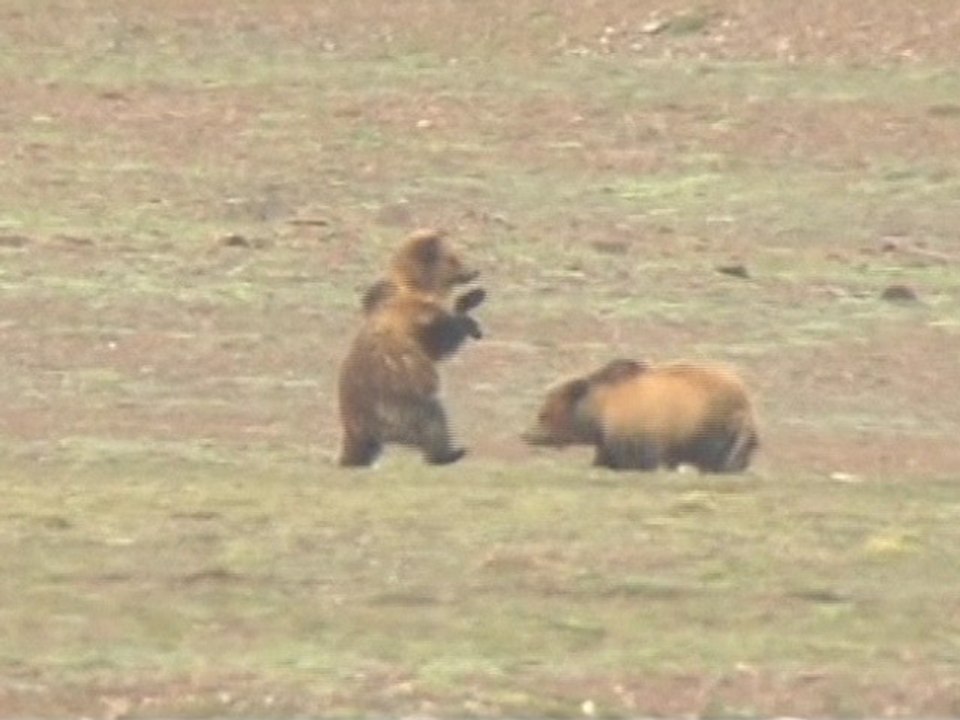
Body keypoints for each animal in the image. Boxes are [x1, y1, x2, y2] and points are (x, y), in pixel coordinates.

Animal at [522, 358, 758, 473]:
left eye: (543, 414)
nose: (527, 435)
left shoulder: (637, 429)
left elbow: (638, 459)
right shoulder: (608, 440)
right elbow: (606, 458)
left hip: (712, 423)